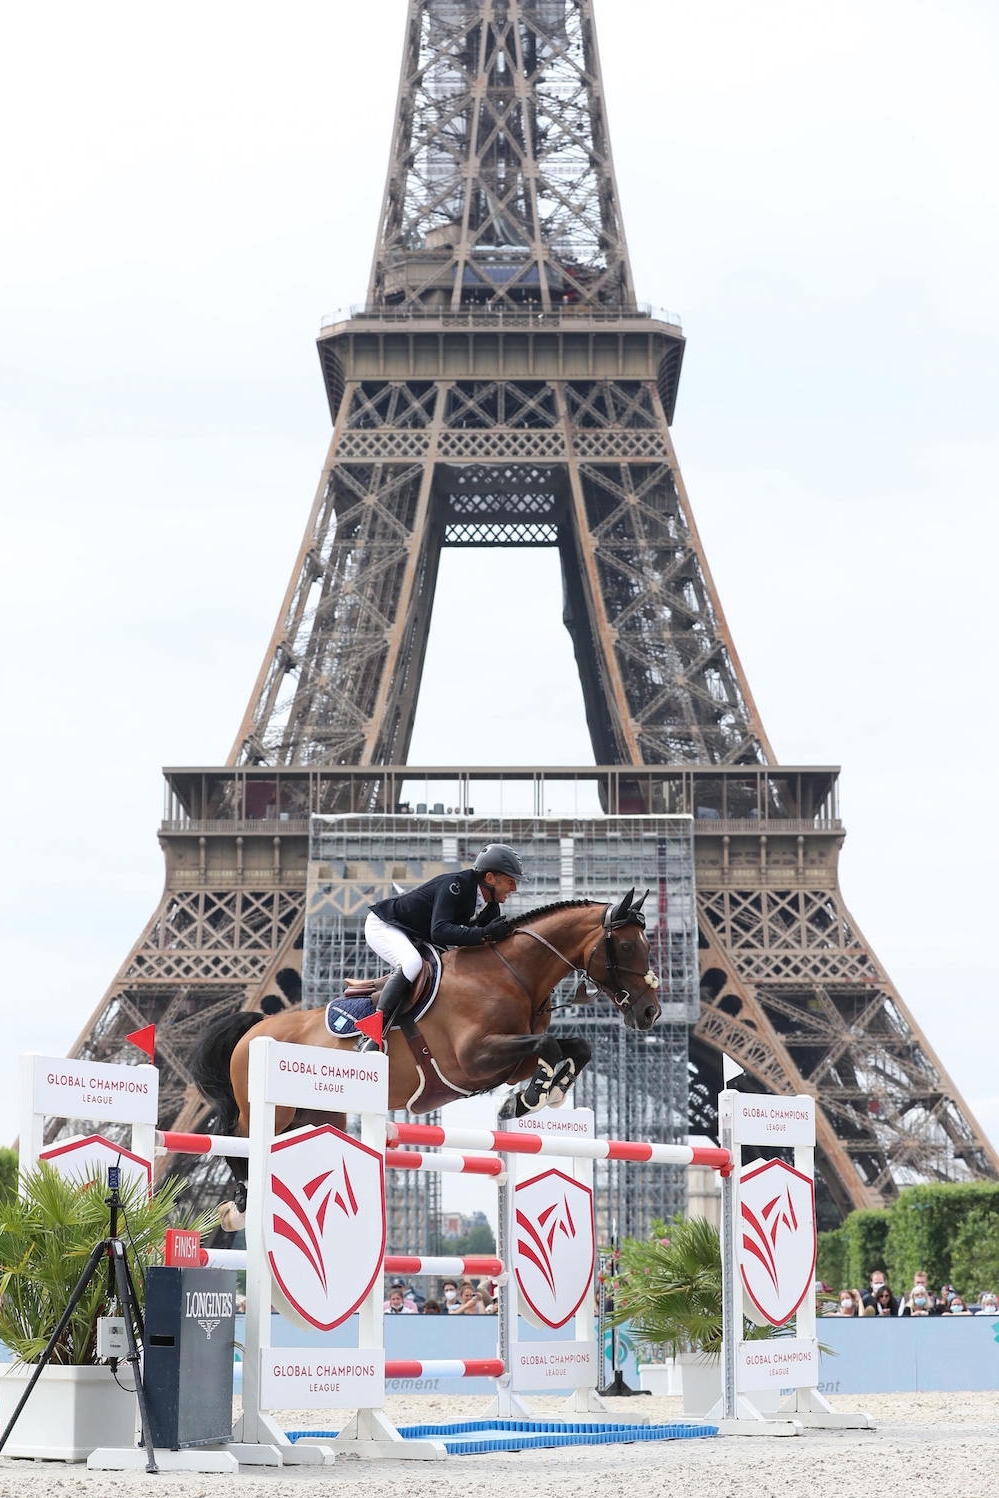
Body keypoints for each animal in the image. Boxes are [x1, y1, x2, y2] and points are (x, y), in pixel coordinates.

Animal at [193, 880, 665, 1198]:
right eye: (626, 947)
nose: (650, 1012)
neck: (510, 974)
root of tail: (256, 1028)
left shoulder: (510, 1060)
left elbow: (574, 1048)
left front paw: (540, 1093)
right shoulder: (472, 1060)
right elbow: (548, 1047)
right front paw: (534, 1097)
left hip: (317, 1114)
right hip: (269, 1109)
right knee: (235, 1134)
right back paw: (240, 1198)